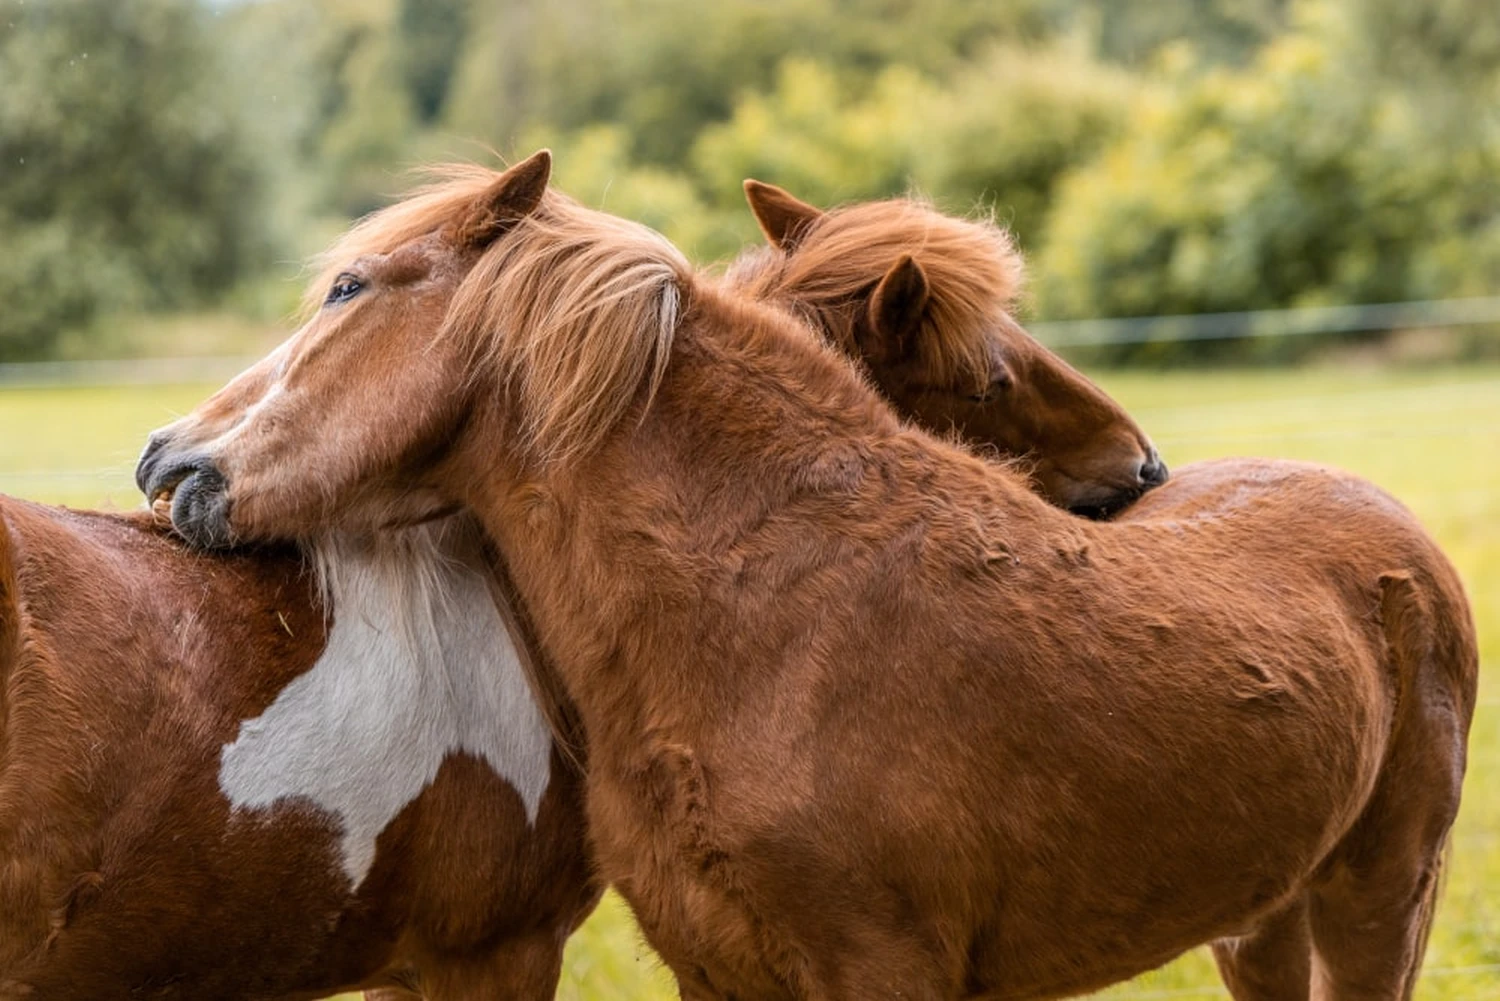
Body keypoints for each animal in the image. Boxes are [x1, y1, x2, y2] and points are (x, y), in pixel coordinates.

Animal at [141, 148, 1476, 1001]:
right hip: (1263, 919)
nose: (168, 460)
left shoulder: (880, 971)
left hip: (1379, 900)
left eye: (347, 289)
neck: (773, 613)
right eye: (992, 375)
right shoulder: (716, 966)